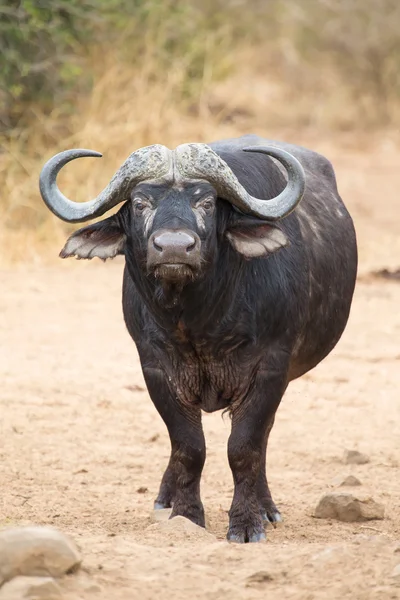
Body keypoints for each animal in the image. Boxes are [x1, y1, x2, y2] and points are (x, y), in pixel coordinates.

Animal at [39, 136, 358, 544]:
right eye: (140, 203)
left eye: (205, 202)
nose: (174, 247)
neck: (199, 321)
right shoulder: (156, 370)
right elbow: (188, 447)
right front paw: (186, 515)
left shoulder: (271, 369)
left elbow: (245, 447)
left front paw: (247, 522)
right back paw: (165, 499)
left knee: (263, 439)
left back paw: (266, 506)